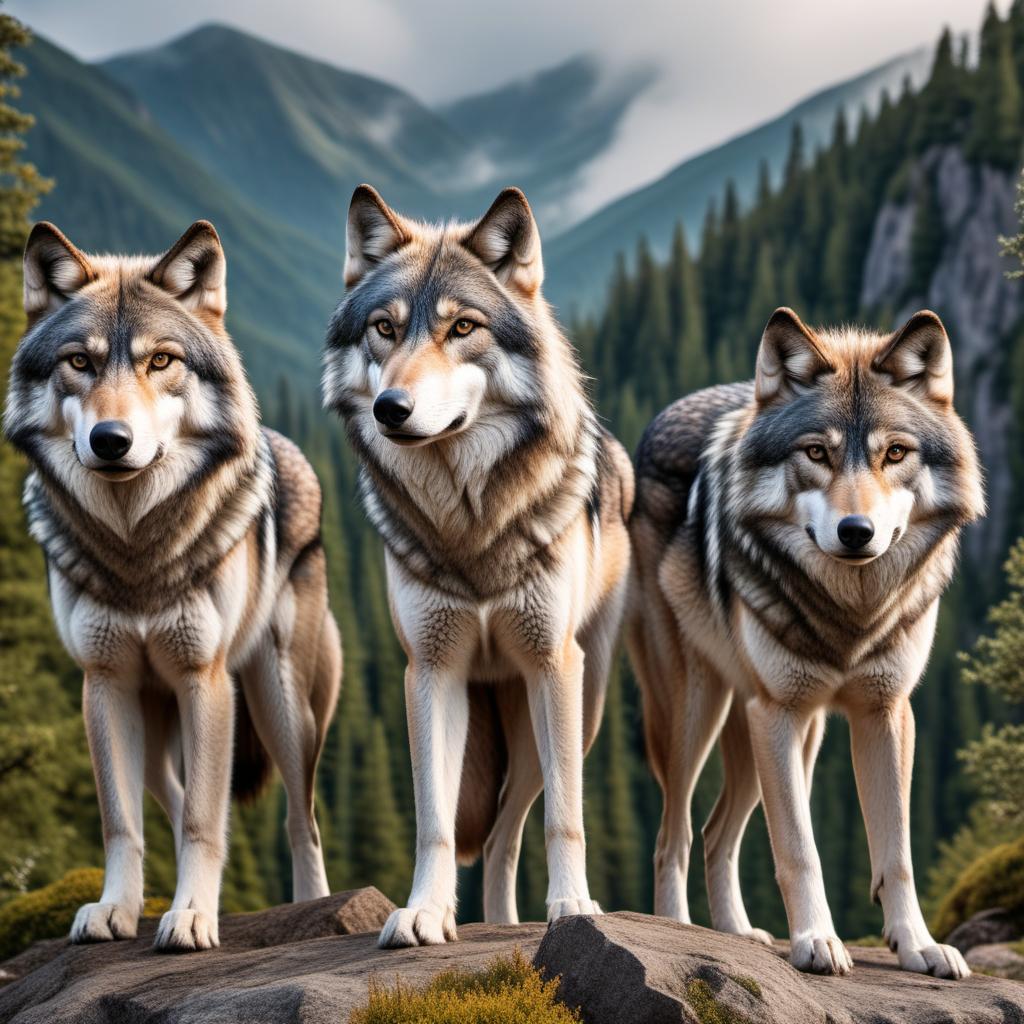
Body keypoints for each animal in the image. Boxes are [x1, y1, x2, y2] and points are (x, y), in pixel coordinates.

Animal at [4, 222, 339, 950]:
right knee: (181, 798)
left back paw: (311, 906)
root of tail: (288, 448)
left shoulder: (202, 678)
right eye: (80, 362)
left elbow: (204, 822)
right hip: (156, 734)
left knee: (301, 817)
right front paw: (116, 908)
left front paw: (189, 916)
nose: (111, 439)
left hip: (278, 704)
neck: (137, 553)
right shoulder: (103, 684)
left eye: (161, 361)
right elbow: (122, 822)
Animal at [325, 186, 630, 950]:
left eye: (462, 327)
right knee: (491, 835)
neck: (472, 525)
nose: (391, 408)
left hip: (570, 708)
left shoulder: (552, 664)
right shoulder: (431, 671)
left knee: (510, 830)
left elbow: (566, 817)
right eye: (384, 328)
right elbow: (434, 820)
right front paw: (424, 913)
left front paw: (573, 908)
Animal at [622, 307, 983, 978]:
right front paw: (817, 940)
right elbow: (800, 849)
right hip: (697, 714)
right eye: (816, 452)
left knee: (716, 833)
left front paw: (917, 946)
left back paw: (738, 933)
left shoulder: (885, 714)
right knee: (673, 835)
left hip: (787, 730)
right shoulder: (778, 712)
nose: (856, 531)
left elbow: (897, 853)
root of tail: (665, 416)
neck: (851, 615)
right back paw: (678, 929)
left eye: (896, 453)